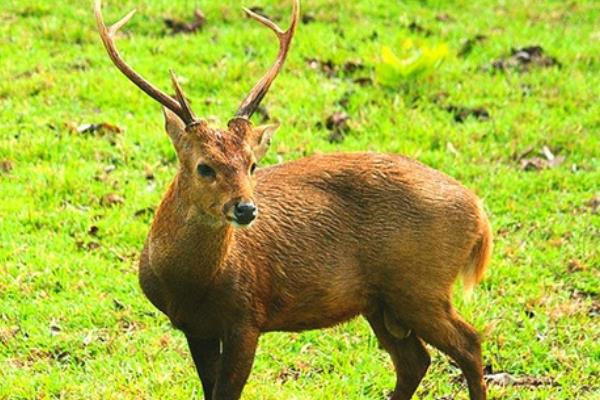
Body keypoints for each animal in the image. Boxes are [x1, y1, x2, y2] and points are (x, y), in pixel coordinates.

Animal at [95, 0, 492, 400]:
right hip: (382, 300)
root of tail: (479, 212)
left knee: (469, 344)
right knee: (415, 360)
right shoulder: (197, 327)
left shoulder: (247, 316)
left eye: (252, 164)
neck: (189, 284)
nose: (245, 209)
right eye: (204, 167)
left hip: (421, 285)